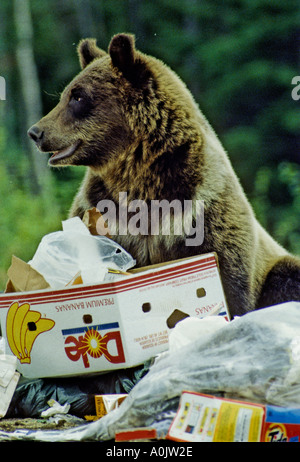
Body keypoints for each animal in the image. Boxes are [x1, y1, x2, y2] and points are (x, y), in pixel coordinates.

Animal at [28, 33, 300, 318]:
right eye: (65, 94)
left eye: (78, 97)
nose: (36, 132)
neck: (138, 170)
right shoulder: (101, 207)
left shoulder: (203, 209)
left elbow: (230, 279)